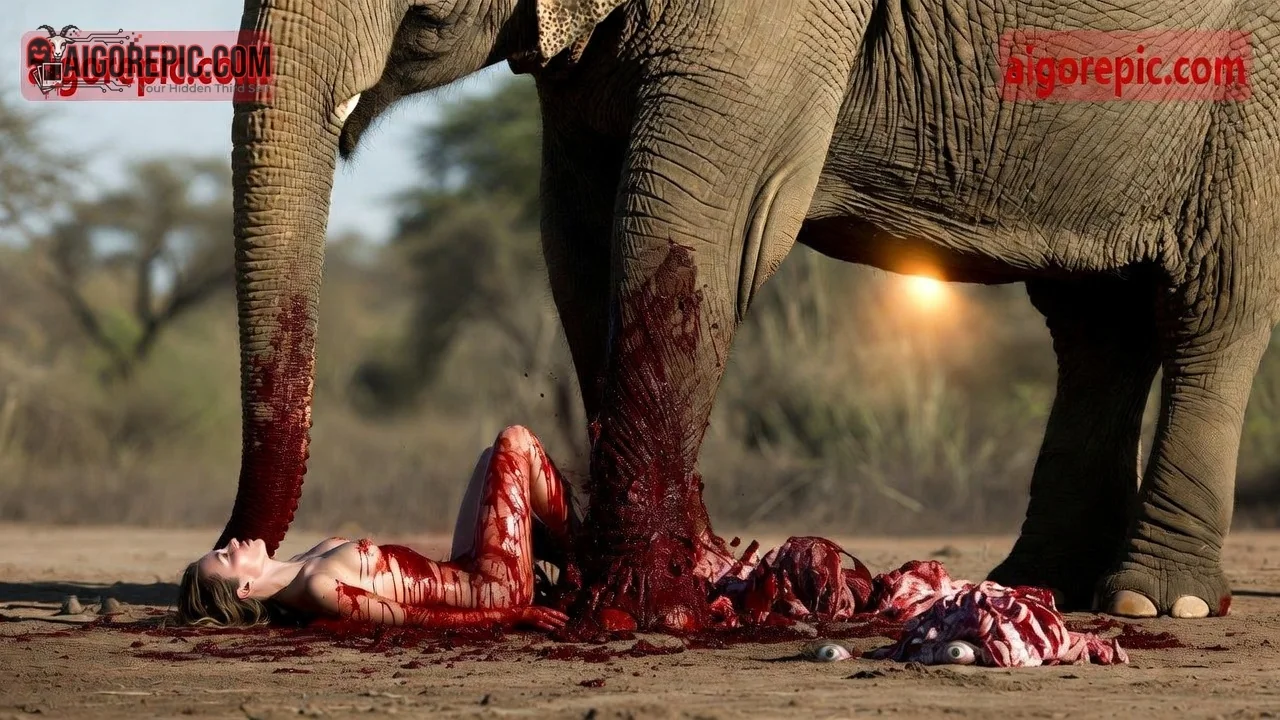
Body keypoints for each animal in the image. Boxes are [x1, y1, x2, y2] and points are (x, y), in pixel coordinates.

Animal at [217, 0, 1278, 629]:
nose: (225, 576)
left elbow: (692, 220)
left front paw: (641, 603)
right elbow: (579, 234)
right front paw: (677, 568)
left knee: (1216, 306)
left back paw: (1154, 602)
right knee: (1094, 322)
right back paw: (1039, 580)